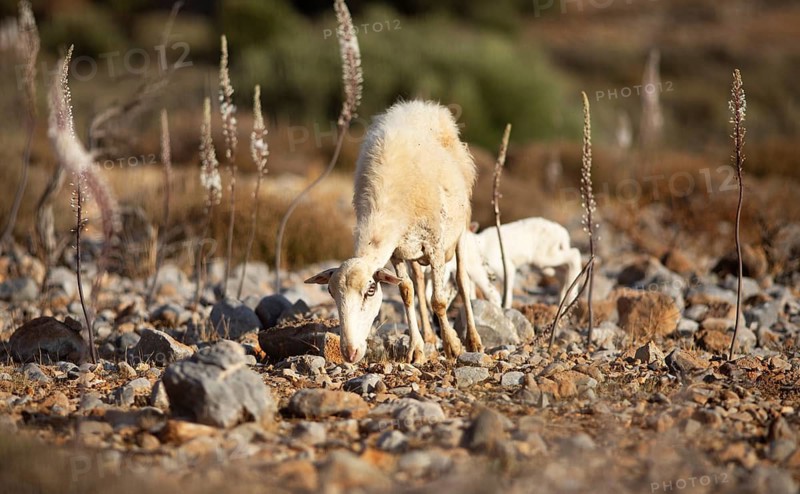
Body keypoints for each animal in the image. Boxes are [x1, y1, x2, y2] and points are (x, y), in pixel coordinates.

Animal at [305, 100, 483, 363]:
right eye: (330, 292)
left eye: (370, 291)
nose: (349, 353)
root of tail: (421, 105)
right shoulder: (397, 252)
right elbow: (406, 292)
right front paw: (416, 349)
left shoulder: (435, 243)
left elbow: (439, 301)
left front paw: (453, 346)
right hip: (413, 250)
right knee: (418, 281)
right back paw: (429, 336)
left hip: (459, 230)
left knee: (462, 280)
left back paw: (473, 340)